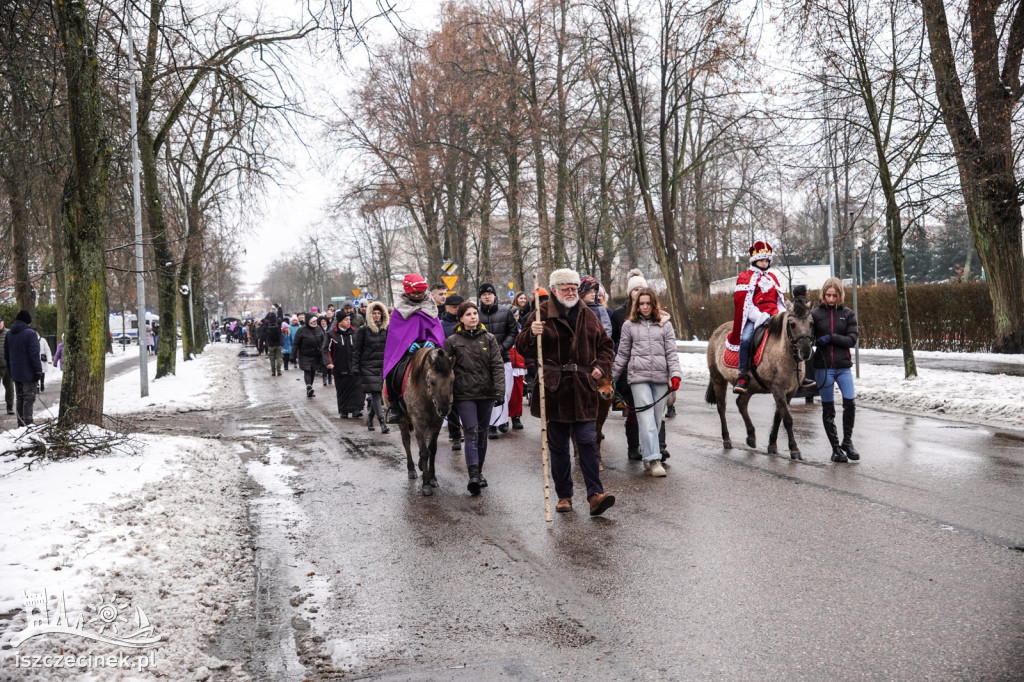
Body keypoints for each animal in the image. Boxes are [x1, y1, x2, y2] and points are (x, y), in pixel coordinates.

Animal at [393, 348, 454, 491]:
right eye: (432, 382)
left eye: (452, 381)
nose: (444, 410)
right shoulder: (418, 421)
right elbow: (425, 452)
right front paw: (426, 484)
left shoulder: (436, 423)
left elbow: (432, 450)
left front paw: (432, 478)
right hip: (404, 421)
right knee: (406, 441)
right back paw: (411, 469)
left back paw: (421, 465)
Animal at [704, 296, 815, 456]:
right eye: (792, 324)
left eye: (811, 323)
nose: (805, 352)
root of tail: (716, 331)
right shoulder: (777, 389)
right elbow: (787, 419)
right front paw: (794, 448)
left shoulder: (789, 392)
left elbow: (778, 417)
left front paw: (772, 444)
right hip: (718, 378)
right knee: (721, 407)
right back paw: (727, 439)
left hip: (750, 387)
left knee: (741, 403)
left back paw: (751, 436)